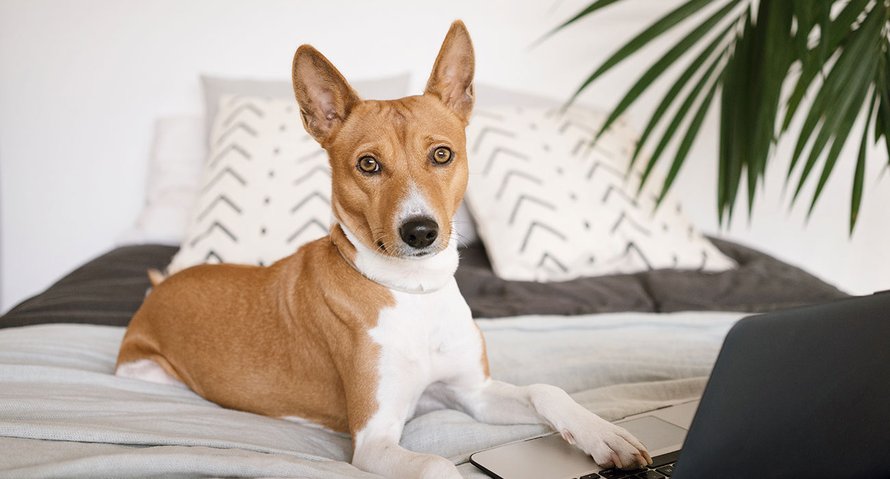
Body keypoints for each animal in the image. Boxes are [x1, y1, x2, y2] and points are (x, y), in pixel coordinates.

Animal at [114, 19, 648, 479]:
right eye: (368, 164)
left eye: (442, 154)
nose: (420, 231)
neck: (415, 293)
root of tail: (160, 288)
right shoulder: (374, 440)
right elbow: (438, 465)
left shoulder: (471, 393)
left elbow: (546, 390)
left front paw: (603, 434)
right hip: (150, 375)